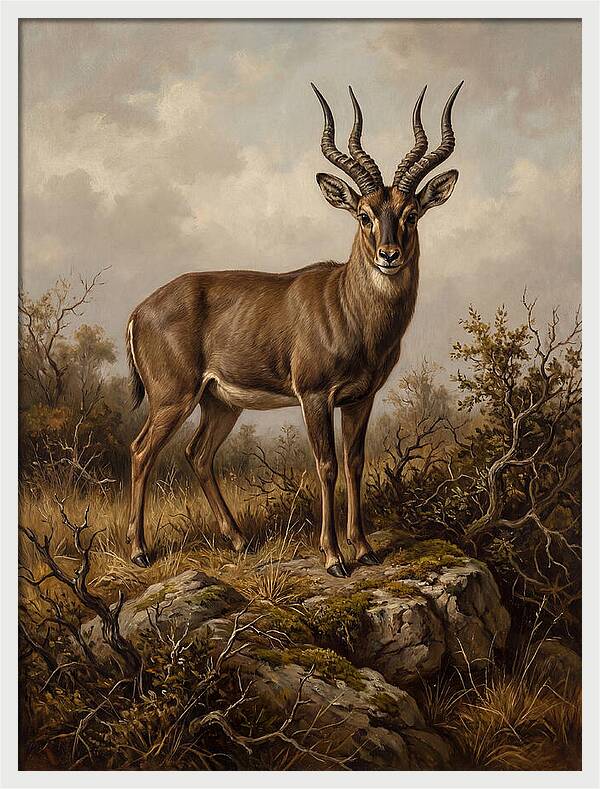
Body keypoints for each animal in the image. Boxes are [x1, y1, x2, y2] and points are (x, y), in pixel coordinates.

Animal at [126, 82, 463, 577]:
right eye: (364, 214)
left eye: (411, 213)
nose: (389, 255)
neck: (348, 308)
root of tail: (139, 310)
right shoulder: (315, 395)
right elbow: (325, 464)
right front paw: (334, 557)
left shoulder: (361, 397)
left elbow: (355, 462)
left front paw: (365, 548)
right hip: (173, 398)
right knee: (141, 450)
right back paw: (140, 551)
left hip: (220, 403)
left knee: (197, 454)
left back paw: (240, 541)